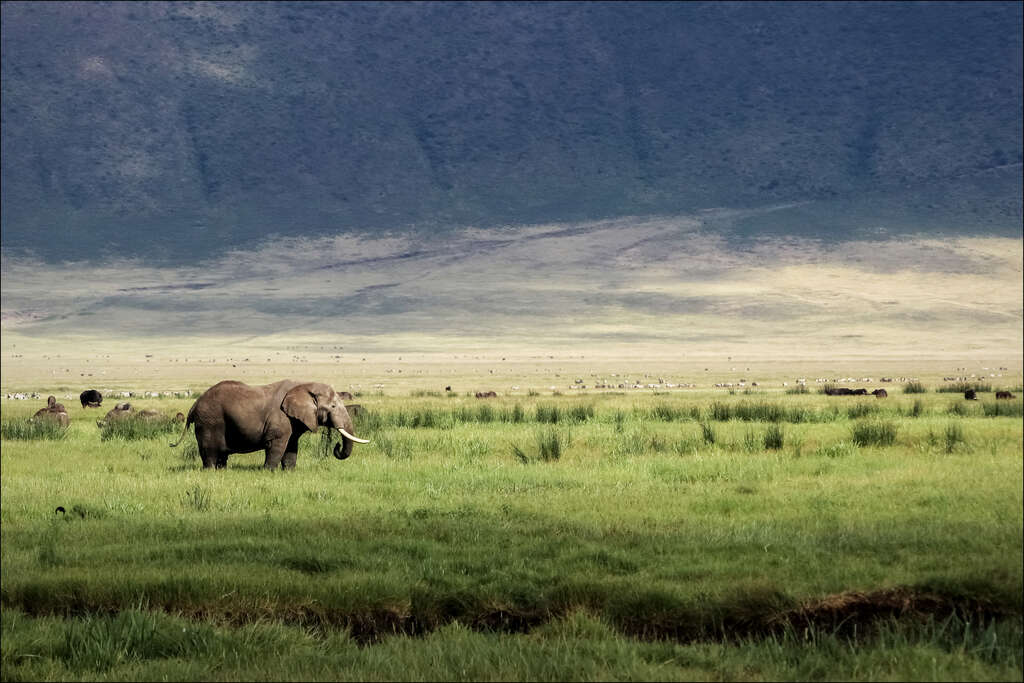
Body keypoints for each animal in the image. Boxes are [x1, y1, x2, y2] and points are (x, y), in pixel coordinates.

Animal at [169, 378, 370, 471]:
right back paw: (210, 471)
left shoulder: (293, 422)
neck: (304, 385)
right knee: (210, 452)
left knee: (221, 456)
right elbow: (277, 445)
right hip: (209, 421)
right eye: (333, 406)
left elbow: (291, 447)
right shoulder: (280, 419)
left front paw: (289, 472)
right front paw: (268, 472)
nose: (336, 447)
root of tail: (194, 405)